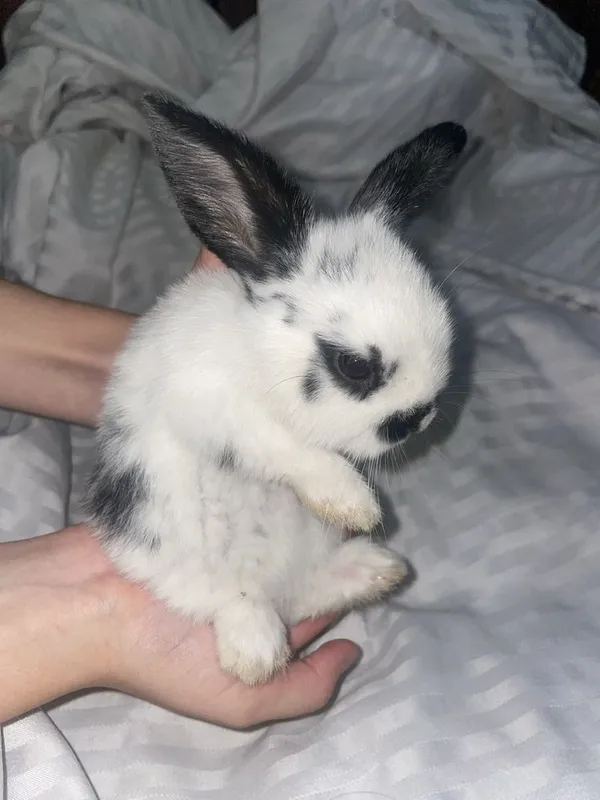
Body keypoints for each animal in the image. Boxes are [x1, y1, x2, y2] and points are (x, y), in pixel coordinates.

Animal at [84, 93, 467, 686]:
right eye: (354, 367)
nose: (418, 418)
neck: (258, 359)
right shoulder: (216, 408)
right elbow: (288, 447)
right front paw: (355, 503)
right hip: (171, 548)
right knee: (231, 597)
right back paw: (258, 653)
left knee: (308, 591)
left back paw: (378, 570)